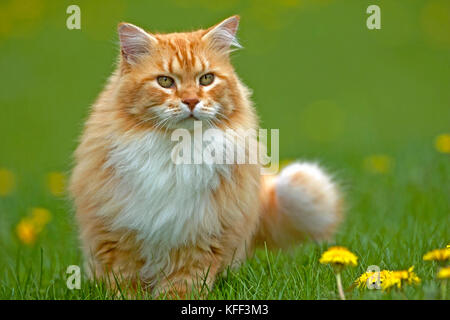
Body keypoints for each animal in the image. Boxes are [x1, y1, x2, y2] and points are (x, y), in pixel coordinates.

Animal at [68, 15, 342, 298]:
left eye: (206, 79)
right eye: (165, 82)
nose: (191, 101)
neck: (177, 152)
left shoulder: (198, 239)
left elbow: (180, 287)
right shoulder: (117, 238)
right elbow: (124, 285)